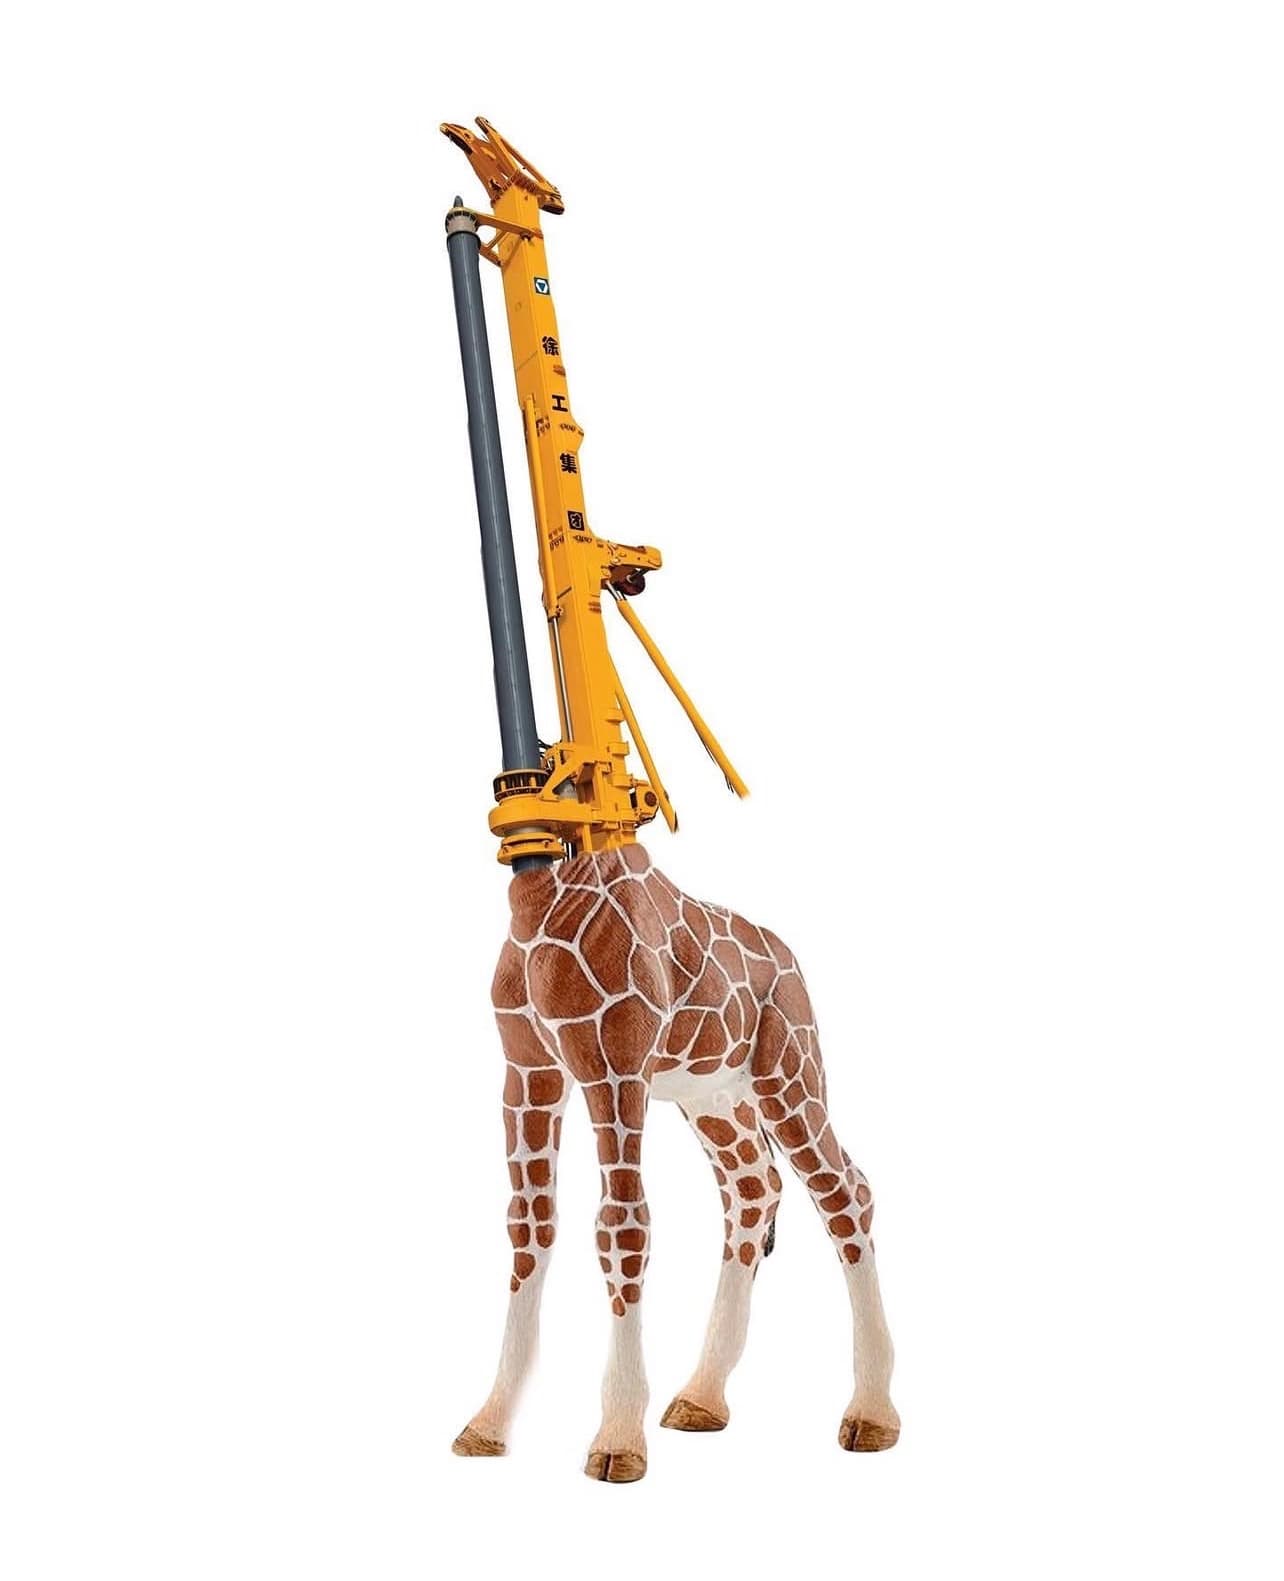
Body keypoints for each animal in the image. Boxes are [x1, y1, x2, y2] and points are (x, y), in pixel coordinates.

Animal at [451, 843, 899, 1482]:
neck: (541, 897)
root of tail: (790, 960)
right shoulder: (529, 1068)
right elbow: (530, 1225)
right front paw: (489, 1423)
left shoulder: (614, 1068)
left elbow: (621, 1226)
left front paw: (618, 1438)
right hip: (712, 1093)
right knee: (754, 1186)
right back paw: (702, 1397)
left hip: (788, 1072)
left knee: (844, 1190)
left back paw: (871, 1413)